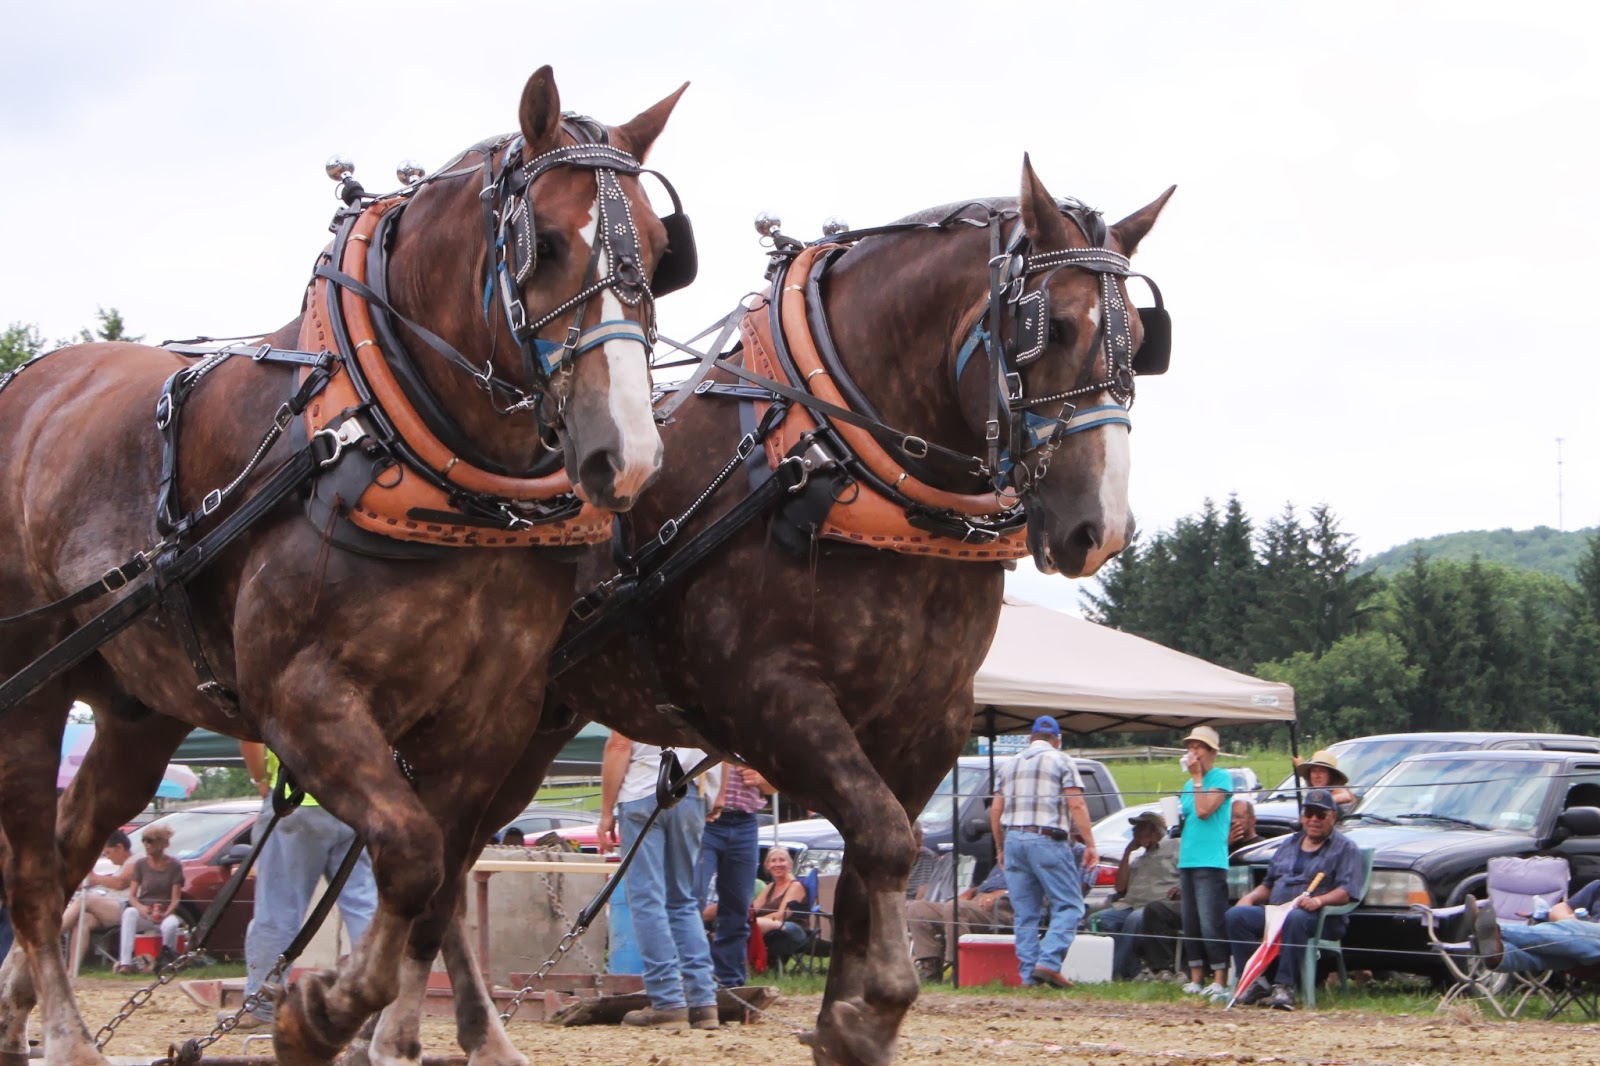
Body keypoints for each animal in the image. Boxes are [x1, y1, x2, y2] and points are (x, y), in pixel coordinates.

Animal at [0, 66, 691, 1066]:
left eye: (664, 250)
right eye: (549, 242)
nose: (625, 456)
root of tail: (28, 386)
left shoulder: (492, 716)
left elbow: (435, 879)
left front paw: (355, 1019)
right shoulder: (298, 693)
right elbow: (407, 851)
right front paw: (320, 1014)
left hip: (135, 713)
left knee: (65, 848)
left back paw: (17, 1019)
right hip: (29, 687)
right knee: (28, 870)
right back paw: (64, 1033)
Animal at [366, 159, 1174, 1065]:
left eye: (1142, 344)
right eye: (1054, 327)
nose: (1100, 530)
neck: (830, 459)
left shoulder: (930, 720)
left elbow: (872, 860)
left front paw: (848, 1026)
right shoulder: (765, 696)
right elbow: (885, 837)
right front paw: (874, 1005)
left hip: (525, 728)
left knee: (453, 861)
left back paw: (474, 1034)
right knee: (434, 861)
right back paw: (397, 1030)